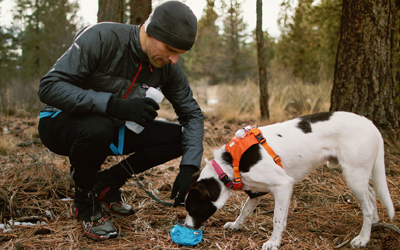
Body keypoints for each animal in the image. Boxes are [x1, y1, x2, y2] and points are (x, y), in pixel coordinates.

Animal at [184, 112, 394, 250]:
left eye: (194, 209)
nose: (187, 227)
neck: (230, 164)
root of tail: (372, 125)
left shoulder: (283, 186)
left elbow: (277, 219)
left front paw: (273, 242)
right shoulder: (257, 190)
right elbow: (245, 211)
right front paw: (236, 225)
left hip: (353, 175)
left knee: (367, 206)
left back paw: (363, 238)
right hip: (358, 174)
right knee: (371, 194)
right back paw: (375, 222)